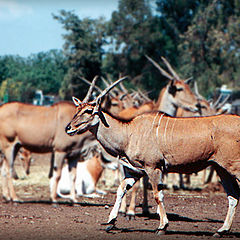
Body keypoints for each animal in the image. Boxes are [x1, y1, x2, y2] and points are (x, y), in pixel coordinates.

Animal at [65, 77, 240, 238]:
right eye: (77, 109)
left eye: (89, 111)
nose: (68, 128)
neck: (129, 132)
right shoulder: (134, 171)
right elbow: (121, 189)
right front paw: (111, 222)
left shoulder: (153, 167)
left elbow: (158, 195)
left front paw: (162, 226)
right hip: (221, 169)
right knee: (233, 197)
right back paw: (221, 230)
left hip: (233, 167)